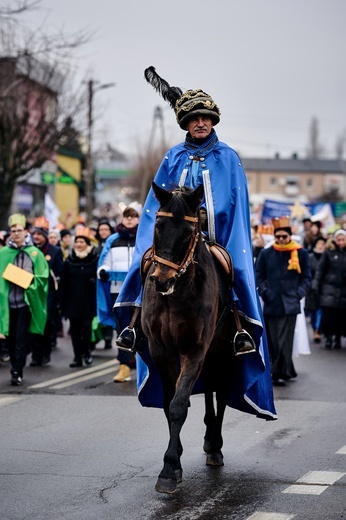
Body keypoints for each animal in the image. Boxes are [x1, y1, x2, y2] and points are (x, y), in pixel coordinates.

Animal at [141, 181, 235, 494]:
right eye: (158, 225)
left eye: (188, 232)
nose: (161, 280)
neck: (176, 294)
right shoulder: (160, 350)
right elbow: (169, 401)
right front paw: (176, 456)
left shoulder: (195, 349)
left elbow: (179, 405)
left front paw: (170, 468)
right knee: (209, 389)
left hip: (223, 349)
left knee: (222, 389)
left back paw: (215, 444)